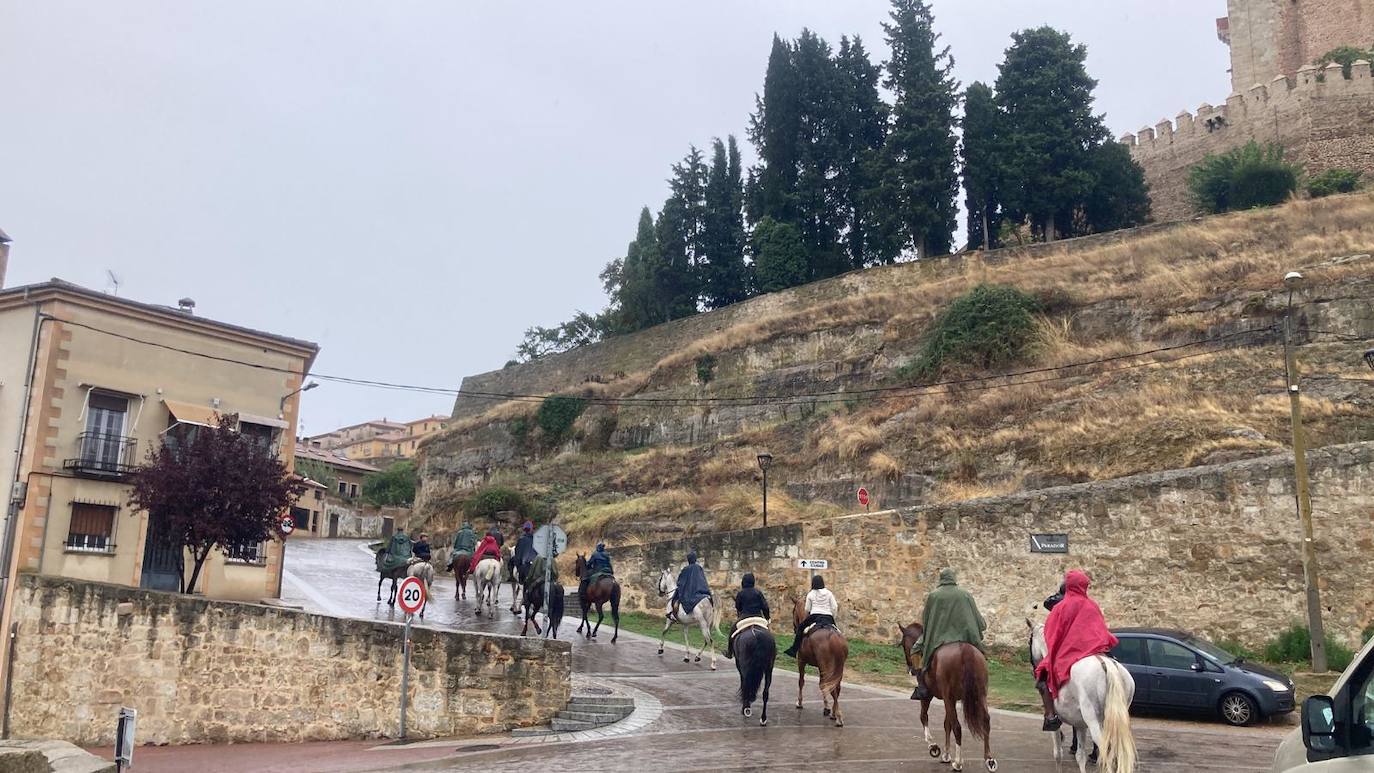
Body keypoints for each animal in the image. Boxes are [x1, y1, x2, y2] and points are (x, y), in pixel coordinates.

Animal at [791, 595, 840, 730]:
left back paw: (836, 715)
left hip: (826, 667)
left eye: (793, 611)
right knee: (836, 687)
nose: (794, 627)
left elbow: (801, 681)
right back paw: (835, 714)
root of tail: (833, 636)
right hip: (837, 668)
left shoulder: (801, 661)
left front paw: (800, 702)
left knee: (830, 687)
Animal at [895, 623, 994, 773]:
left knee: (957, 727)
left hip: (948, 696)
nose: (910, 669)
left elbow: (924, 716)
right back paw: (989, 759)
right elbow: (947, 724)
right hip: (980, 694)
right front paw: (946, 754)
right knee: (985, 721)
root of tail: (964, 650)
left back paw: (958, 763)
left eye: (902, 644)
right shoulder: (950, 700)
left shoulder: (930, 696)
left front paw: (933, 746)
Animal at [1033, 620, 1137, 773]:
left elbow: (1058, 754)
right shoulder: (1081, 725)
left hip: (1095, 723)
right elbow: (1080, 756)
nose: (1035, 668)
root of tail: (1109, 666)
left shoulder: (1057, 724)